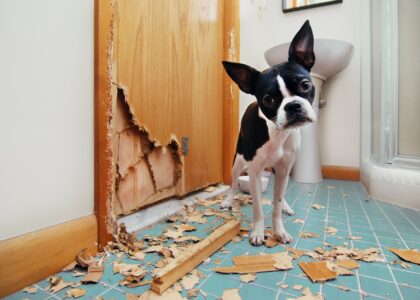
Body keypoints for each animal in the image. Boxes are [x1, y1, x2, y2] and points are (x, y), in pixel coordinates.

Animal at [221, 21, 316, 246]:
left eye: (305, 85)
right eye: (268, 99)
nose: (293, 106)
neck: (277, 134)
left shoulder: (283, 169)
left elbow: (277, 204)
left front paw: (279, 230)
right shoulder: (254, 172)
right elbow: (257, 207)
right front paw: (257, 231)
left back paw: (287, 206)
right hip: (238, 161)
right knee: (233, 183)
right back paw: (228, 200)